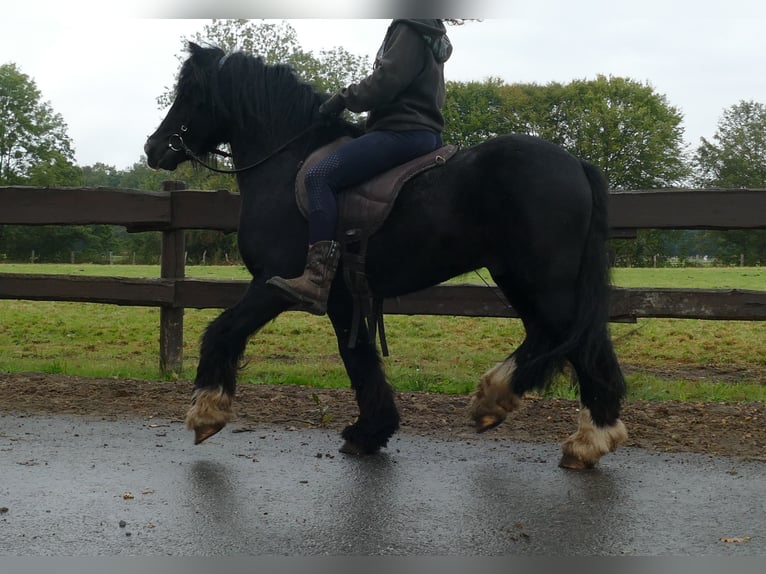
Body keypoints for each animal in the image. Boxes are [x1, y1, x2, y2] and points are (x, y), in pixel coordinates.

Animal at [146, 42, 632, 470]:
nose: (154, 147)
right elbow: (359, 359)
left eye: (189, 93)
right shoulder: (340, 298)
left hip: (544, 281)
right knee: (551, 337)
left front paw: (207, 412)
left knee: (580, 344)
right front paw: (370, 431)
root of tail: (576, 165)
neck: (289, 163)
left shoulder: (276, 283)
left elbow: (222, 332)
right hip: (523, 280)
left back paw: (586, 440)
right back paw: (501, 404)